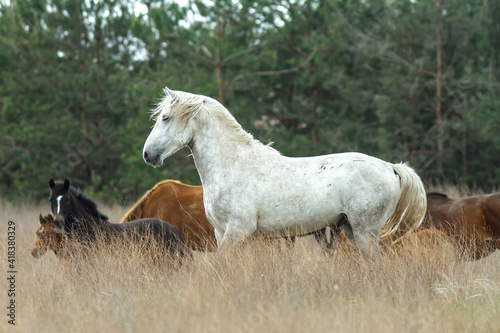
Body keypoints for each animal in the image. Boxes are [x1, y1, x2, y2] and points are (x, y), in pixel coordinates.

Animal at [143, 88, 428, 254]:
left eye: (165, 117)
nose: (148, 154)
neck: (232, 164)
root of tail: (392, 168)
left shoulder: (238, 230)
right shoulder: (221, 231)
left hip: (365, 230)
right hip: (351, 229)